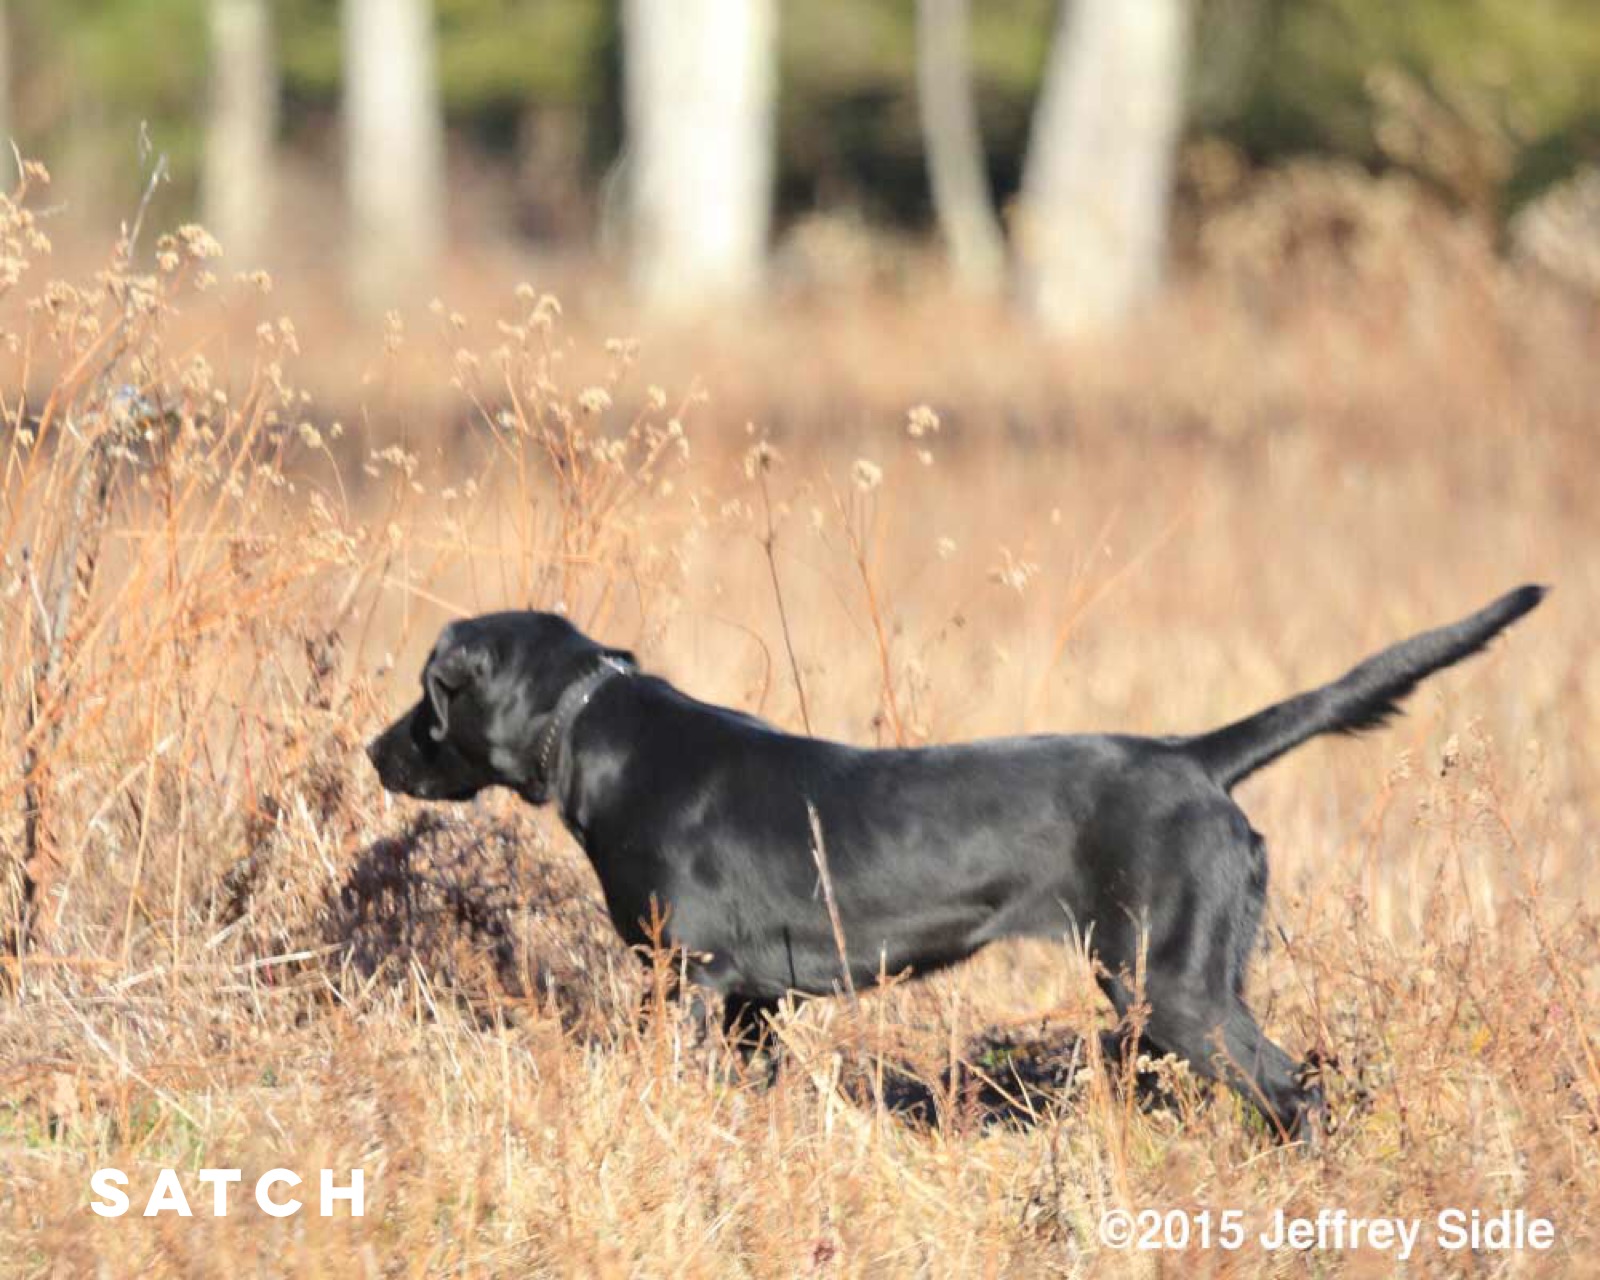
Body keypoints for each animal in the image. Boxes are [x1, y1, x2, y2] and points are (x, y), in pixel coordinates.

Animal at [368, 585, 1542, 1132]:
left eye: (429, 697)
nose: (374, 752)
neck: (596, 730)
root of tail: (1191, 756)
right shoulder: (752, 1000)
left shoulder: (689, 977)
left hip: (1171, 984)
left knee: (1294, 1092)